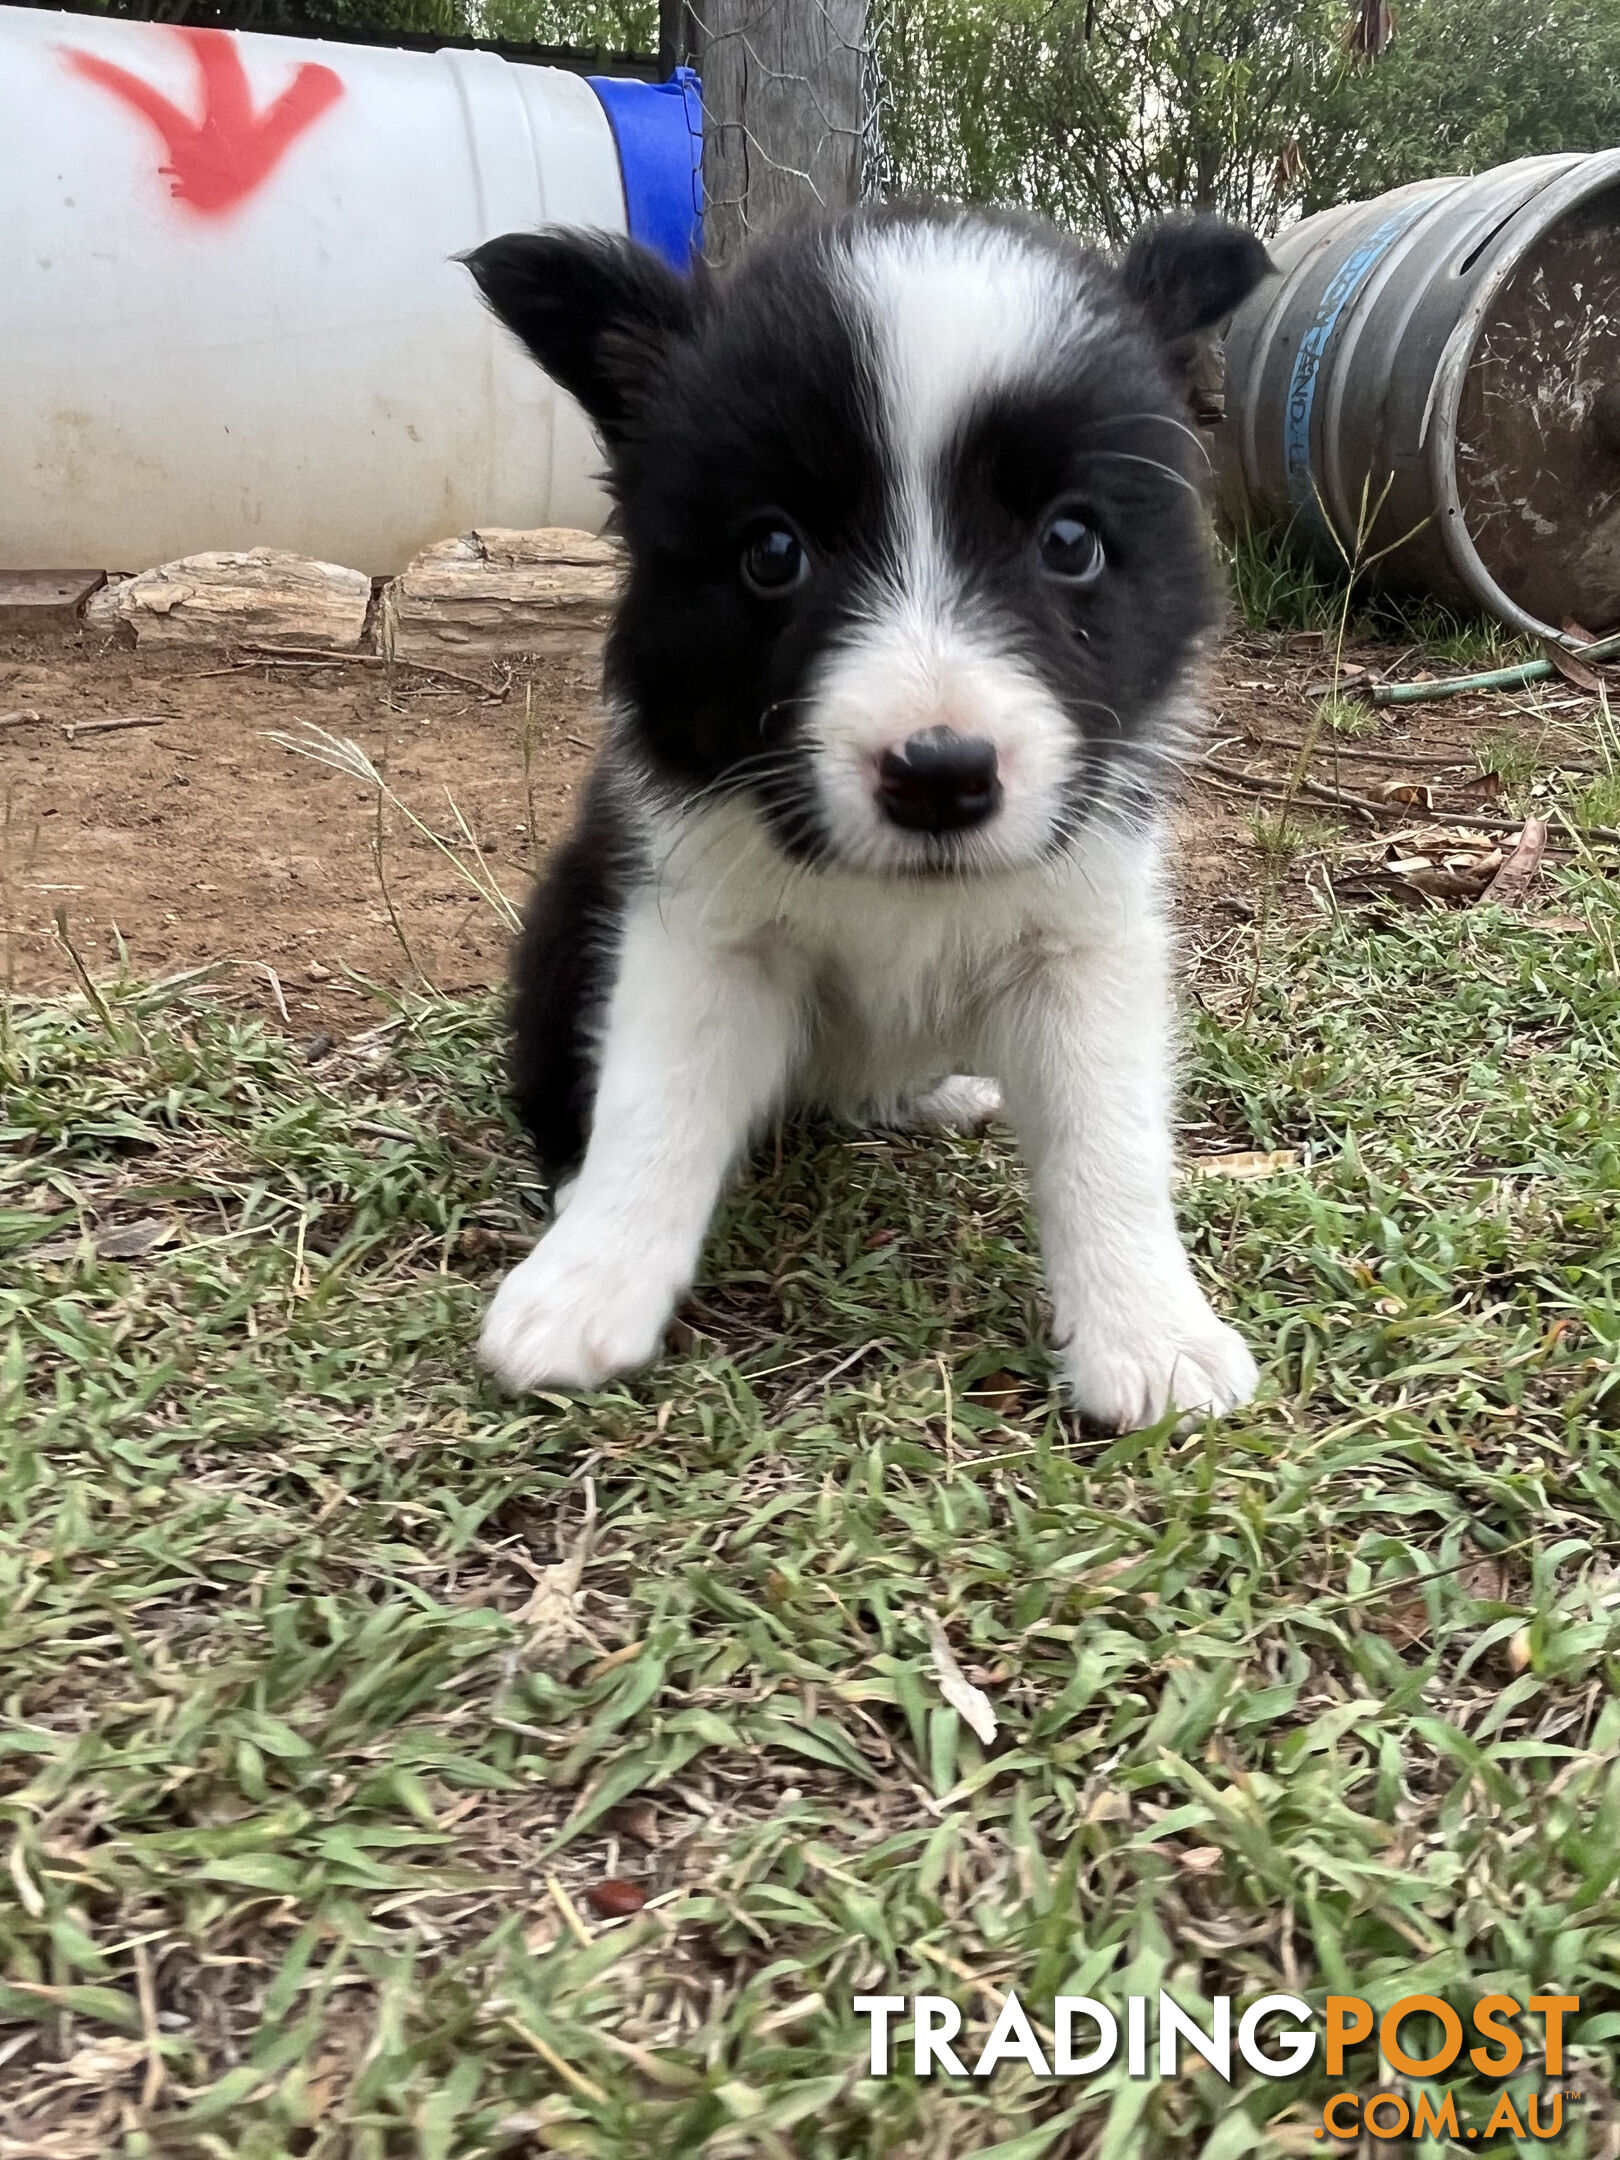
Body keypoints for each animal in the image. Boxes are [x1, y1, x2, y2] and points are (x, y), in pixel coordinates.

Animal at [462, 198, 1278, 1416]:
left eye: (1071, 541)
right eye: (773, 552)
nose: (941, 774)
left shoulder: (1083, 941)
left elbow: (1111, 1137)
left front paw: (1151, 1332)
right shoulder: (703, 929)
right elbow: (655, 1106)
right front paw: (588, 1283)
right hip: (568, 919)